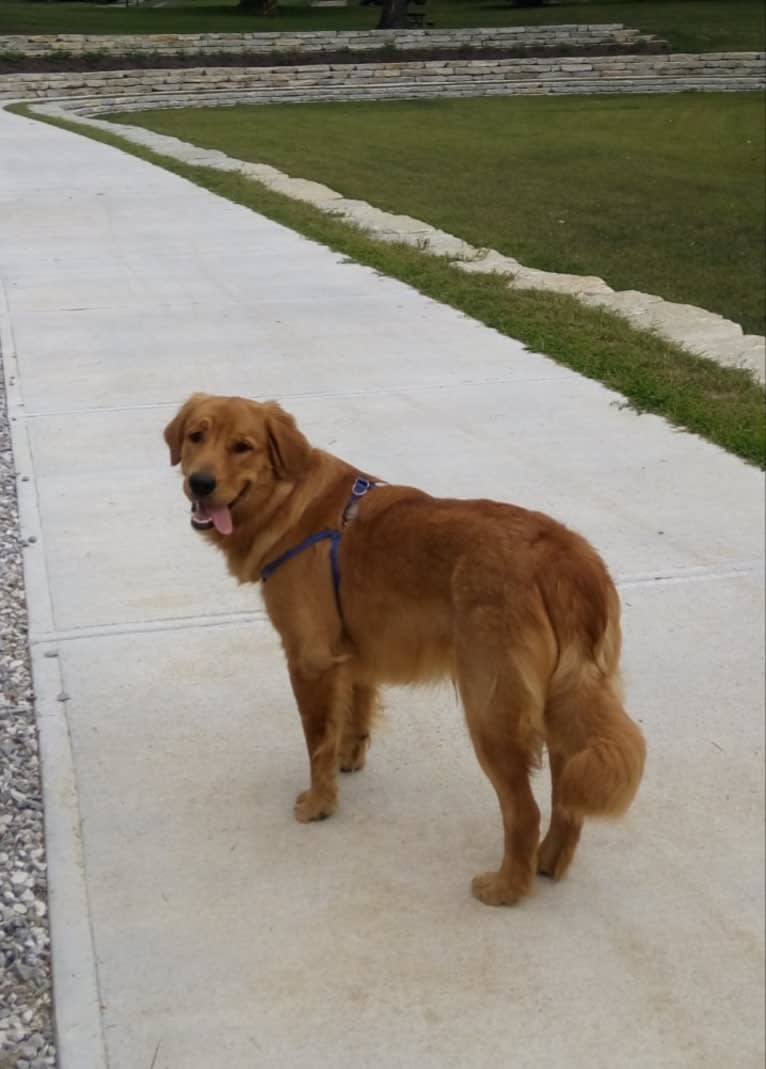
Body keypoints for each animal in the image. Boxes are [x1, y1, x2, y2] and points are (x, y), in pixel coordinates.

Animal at [164, 397, 641, 906]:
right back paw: (548, 863)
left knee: (524, 811)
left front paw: (319, 803)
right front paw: (349, 760)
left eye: (242, 447)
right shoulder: (352, 651)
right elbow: (353, 714)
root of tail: (566, 560)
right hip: (563, 707)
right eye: (196, 436)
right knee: (566, 799)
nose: (200, 482)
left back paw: (508, 887)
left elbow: (316, 741)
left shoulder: (309, 659)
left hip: (491, 711)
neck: (289, 501)